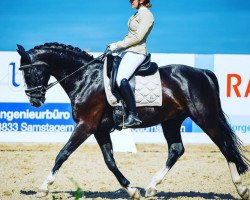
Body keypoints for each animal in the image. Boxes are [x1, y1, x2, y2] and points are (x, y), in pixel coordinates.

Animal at [16, 43, 249, 199]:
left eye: (28, 72)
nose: (35, 101)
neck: (85, 78)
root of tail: (203, 73)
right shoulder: (99, 130)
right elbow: (110, 161)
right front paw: (132, 190)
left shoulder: (86, 125)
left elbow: (62, 154)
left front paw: (44, 187)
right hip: (171, 121)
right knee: (176, 150)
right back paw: (152, 187)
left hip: (204, 118)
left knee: (225, 146)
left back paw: (241, 188)